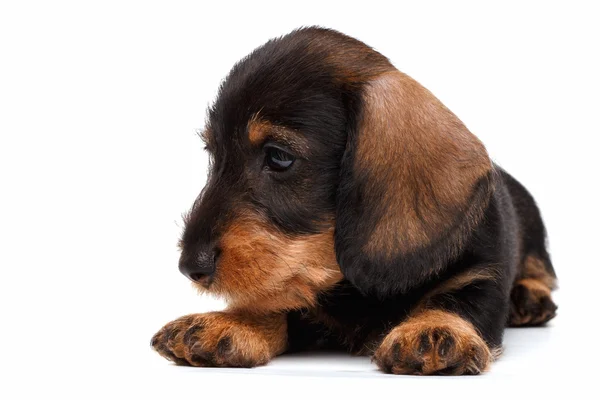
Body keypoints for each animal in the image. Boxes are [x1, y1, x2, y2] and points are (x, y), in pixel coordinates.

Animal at [151, 27, 556, 376]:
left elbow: (455, 301)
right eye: (213, 155)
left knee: (542, 271)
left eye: (279, 157)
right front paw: (230, 323)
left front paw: (433, 330)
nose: (190, 267)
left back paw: (530, 298)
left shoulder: (483, 276)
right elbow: (277, 303)